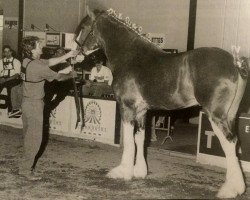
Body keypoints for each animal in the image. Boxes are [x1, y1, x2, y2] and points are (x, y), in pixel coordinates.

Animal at [76, 7, 250, 198]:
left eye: (83, 27)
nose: (76, 57)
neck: (130, 56)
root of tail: (234, 62)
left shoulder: (127, 107)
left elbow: (128, 140)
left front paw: (123, 171)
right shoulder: (141, 111)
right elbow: (139, 138)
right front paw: (139, 171)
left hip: (215, 115)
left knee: (229, 142)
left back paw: (230, 189)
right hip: (230, 115)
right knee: (235, 144)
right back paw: (237, 186)